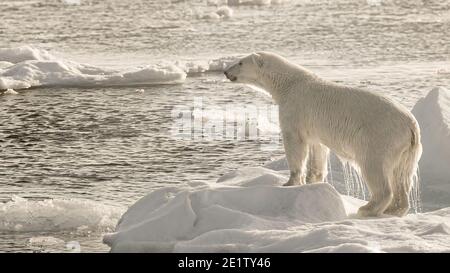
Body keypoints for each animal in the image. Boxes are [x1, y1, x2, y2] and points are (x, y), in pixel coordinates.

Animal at [224, 52, 422, 216]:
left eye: (240, 62)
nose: (225, 71)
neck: (289, 84)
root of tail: (411, 125)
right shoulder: (313, 127)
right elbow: (317, 150)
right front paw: (313, 180)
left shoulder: (295, 109)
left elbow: (294, 143)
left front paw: (289, 183)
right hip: (406, 149)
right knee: (402, 175)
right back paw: (395, 209)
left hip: (381, 136)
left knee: (375, 168)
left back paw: (367, 208)